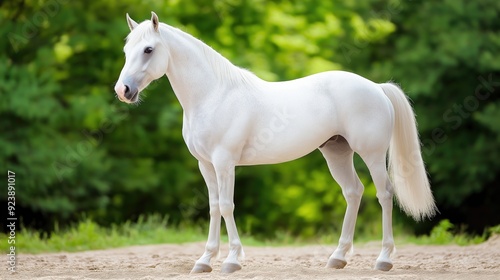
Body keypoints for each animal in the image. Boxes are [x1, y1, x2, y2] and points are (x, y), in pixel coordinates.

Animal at [115, 12, 436, 272]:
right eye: (126, 50)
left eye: (148, 49)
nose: (123, 90)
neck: (214, 94)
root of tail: (377, 88)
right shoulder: (205, 164)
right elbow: (214, 207)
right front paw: (205, 261)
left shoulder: (224, 162)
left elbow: (228, 206)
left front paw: (232, 261)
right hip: (337, 152)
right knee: (353, 192)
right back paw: (338, 257)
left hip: (372, 154)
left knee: (384, 194)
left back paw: (384, 259)